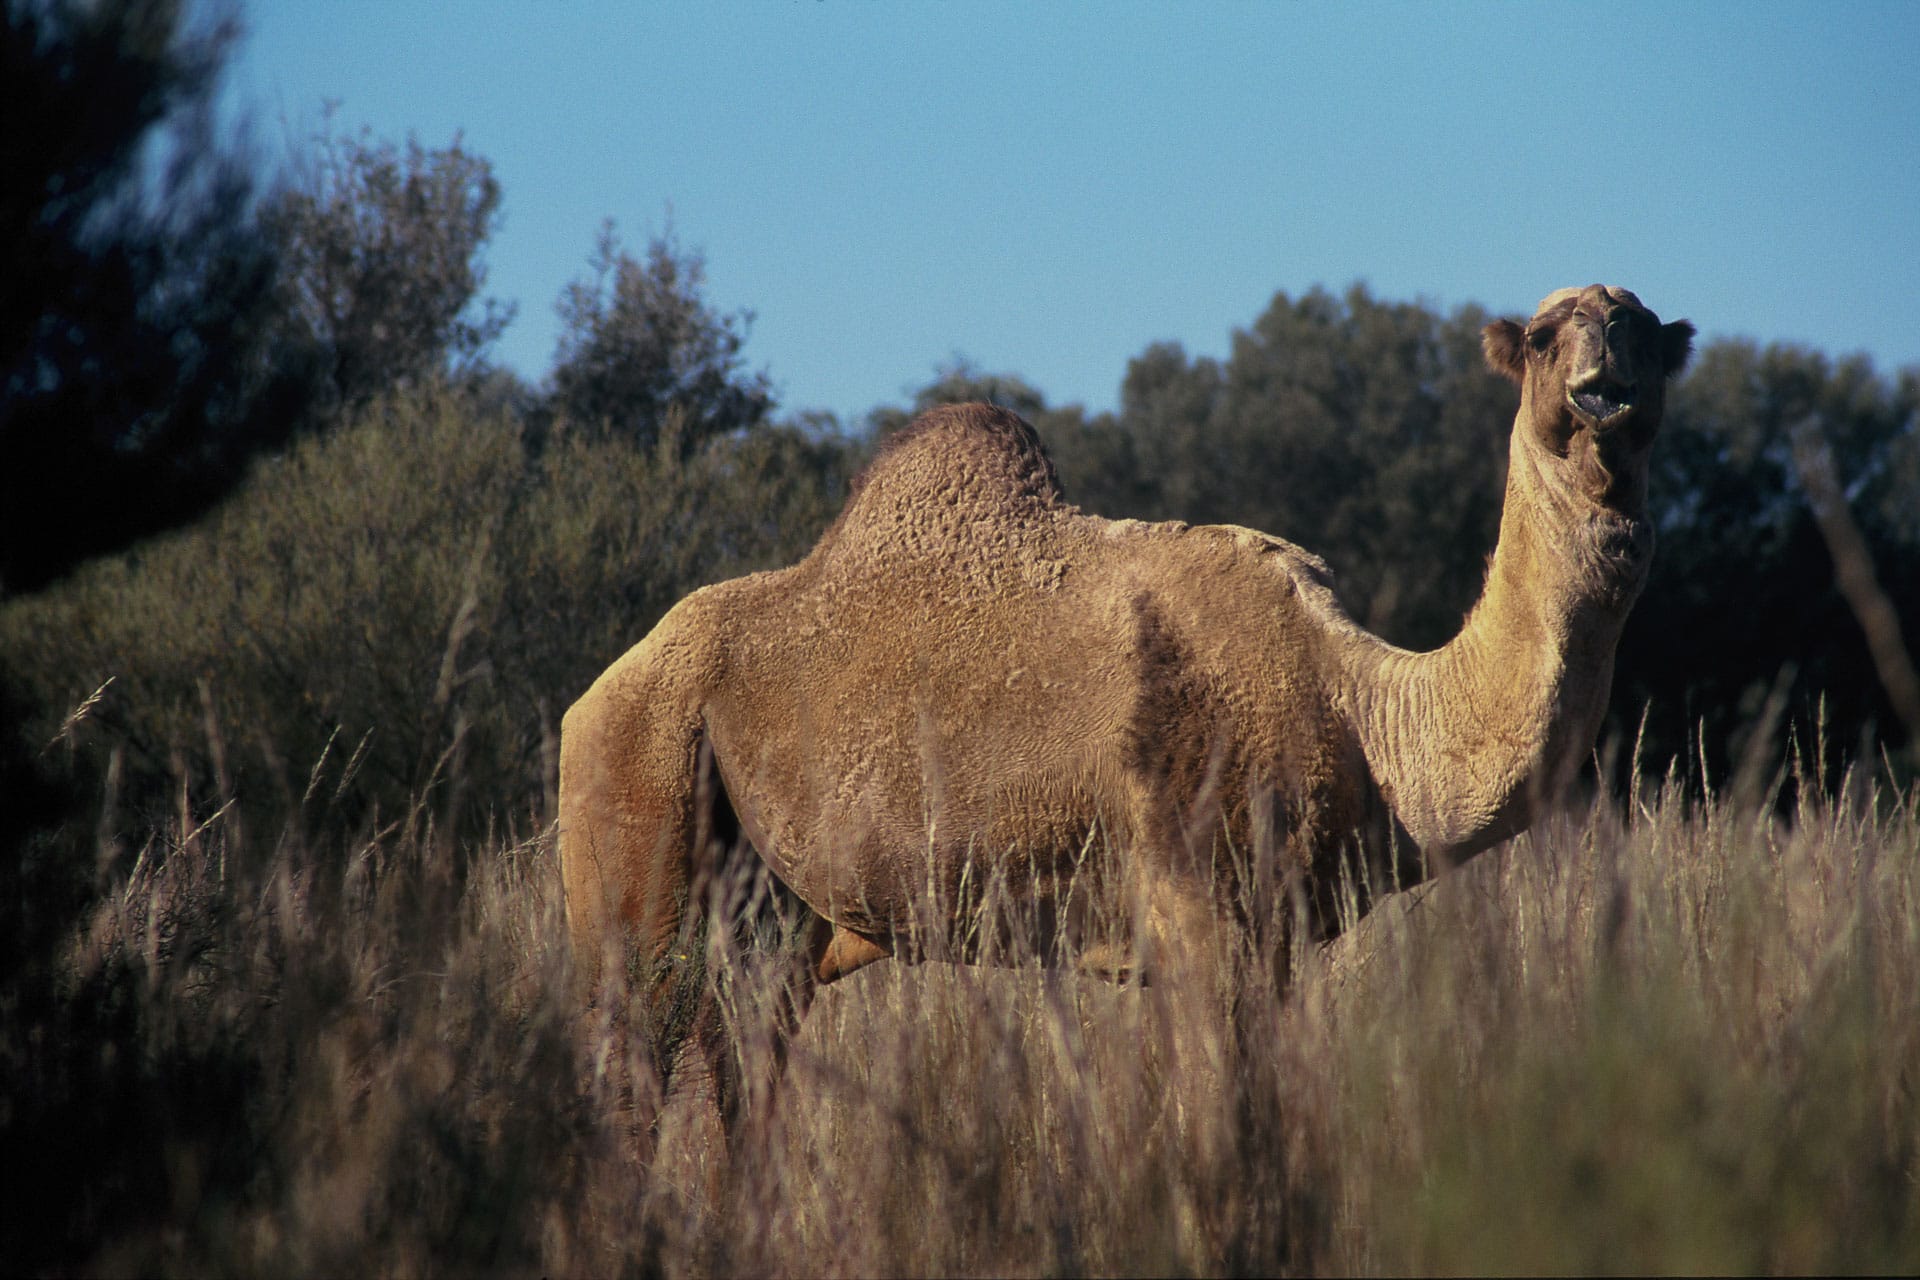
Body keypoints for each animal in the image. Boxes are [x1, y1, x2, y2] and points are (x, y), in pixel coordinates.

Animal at [556, 280, 1697, 1113]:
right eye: (1545, 336)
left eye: (1644, 332)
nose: (1604, 385)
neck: (1368, 714)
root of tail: (590, 696)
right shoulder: (1205, 910)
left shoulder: (1259, 941)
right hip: (636, 790)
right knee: (632, 1054)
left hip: (769, 915)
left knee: (739, 1063)